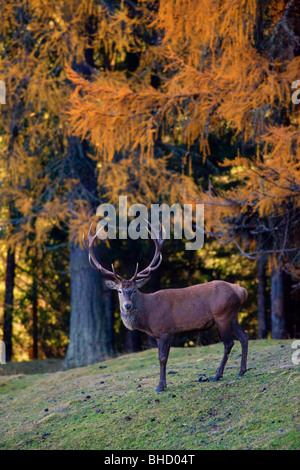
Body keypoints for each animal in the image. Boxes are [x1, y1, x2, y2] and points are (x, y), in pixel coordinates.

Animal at [82, 220, 248, 392]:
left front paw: (160, 386)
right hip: (233, 316)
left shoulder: (165, 330)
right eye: (120, 291)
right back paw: (241, 372)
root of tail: (241, 290)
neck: (148, 315)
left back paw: (217, 375)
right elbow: (162, 357)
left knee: (229, 343)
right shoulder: (158, 334)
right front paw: (163, 384)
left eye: (134, 290)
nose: (127, 306)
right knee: (244, 337)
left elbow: (162, 358)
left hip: (222, 316)